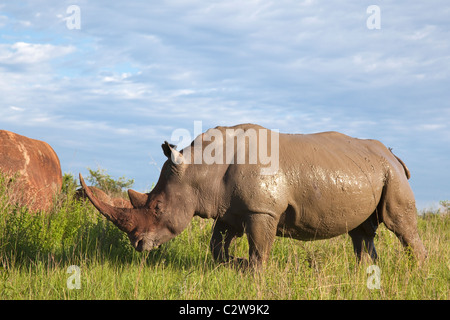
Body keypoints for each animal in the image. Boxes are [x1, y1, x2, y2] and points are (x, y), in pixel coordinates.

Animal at [79, 124, 428, 266]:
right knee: (361, 232)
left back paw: (418, 274)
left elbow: (260, 250)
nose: (138, 245)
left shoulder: (262, 210)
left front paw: (251, 273)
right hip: (370, 169)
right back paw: (365, 275)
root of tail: (393, 155)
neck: (198, 170)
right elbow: (216, 247)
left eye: (157, 207)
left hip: (392, 175)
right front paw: (235, 263)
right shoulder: (228, 209)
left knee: (400, 225)